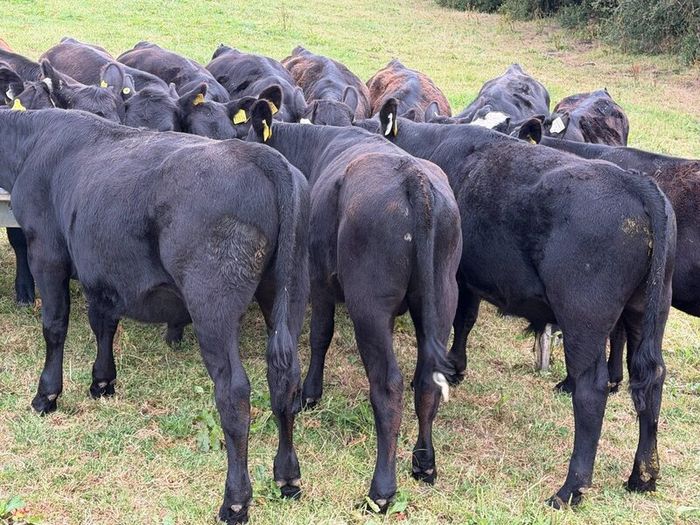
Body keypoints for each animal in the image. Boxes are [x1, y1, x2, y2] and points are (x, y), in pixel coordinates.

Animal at [0, 107, 310, 525]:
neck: (32, 141)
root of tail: (261, 155)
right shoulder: (103, 268)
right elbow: (103, 323)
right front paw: (102, 382)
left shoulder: (47, 250)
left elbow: (54, 326)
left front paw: (46, 395)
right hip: (289, 292)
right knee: (285, 380)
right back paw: (287, 478)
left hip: (212, 303)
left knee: (234, 391)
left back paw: (235, 501)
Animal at [246, 100, 462, 511]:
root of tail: (413, 177)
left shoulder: (318, 280)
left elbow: (320, 335)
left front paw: (310, 393)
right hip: (442, 299)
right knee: (427, 382)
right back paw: (424, 463)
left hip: (369, 307)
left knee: (388, 386)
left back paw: (381, 490)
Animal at [358, 99, 676, 508]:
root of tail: (637, 183)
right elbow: (464, 321)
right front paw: (457, 367)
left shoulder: (458, 275)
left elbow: (459, 319)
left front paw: (450, 368)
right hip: (646, 311)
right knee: (650, 376)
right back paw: (643, 475)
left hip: (584, 318)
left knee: (592, 390)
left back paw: (570, 488)